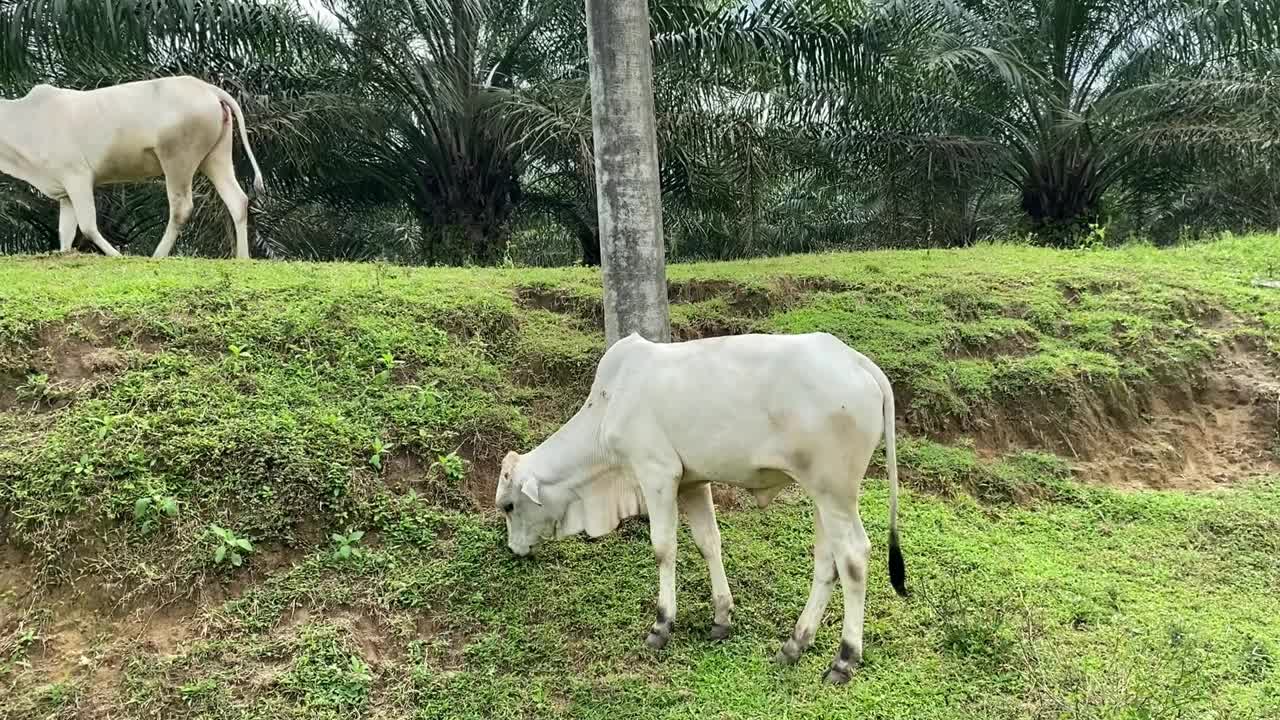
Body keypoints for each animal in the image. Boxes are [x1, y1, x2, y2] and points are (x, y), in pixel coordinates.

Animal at [0, 74, 264, 257]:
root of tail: (207, 88)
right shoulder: (65, 191)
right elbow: (66, 232)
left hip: (178, 159)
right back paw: (242, 259)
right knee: (237, 200)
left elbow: (88, 226)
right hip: (216, 157)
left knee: (181, 208)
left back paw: (157, 256)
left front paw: (117, 256)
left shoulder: (77, 176)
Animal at [494, 327, 906, 681]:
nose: (514, 549)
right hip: (822, 495)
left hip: (835, 493)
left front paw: (662, 624)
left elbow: (663, 548)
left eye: (508, 506)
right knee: (826, 562)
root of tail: (856, 361)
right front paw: (721, 617)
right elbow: (709, 542)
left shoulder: (657, 474)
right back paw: (795, 643)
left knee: (853, 557)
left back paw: (844, 658)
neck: (608, 406)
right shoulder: (692, 481)